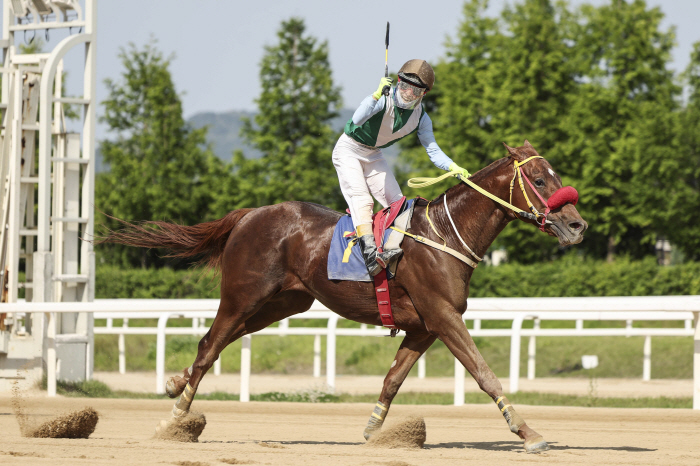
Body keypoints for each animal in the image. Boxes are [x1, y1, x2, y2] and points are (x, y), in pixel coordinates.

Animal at [98, 141, 584, 452]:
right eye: (540, 179)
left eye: (558, 175)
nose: (578, 225)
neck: (444, 235)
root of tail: (249, 214)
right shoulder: (444, 316)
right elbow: (484, 373)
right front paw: (527, 432)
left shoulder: (424, 326)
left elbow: (393, 378)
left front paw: (375, 431)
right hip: (242, 295)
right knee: (208, 345)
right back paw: (176, 416)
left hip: (282, 302)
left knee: (217, 344)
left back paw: (174, 383)